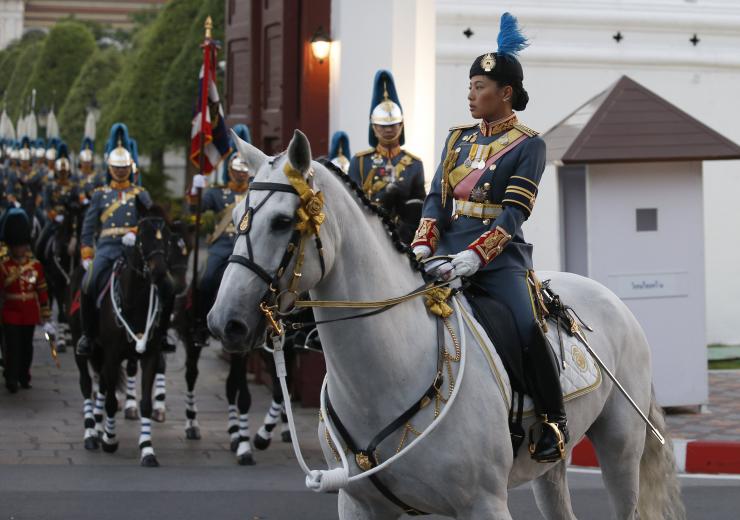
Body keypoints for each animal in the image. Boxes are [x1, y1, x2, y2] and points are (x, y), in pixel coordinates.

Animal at [207, 131, 684, 520]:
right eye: (236, 217)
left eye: (283, 221)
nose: (224, 322)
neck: (390, 371)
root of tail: (612, 300)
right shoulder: (359, 505)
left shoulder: (485, 505)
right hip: (549, 470)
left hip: (620, 449)